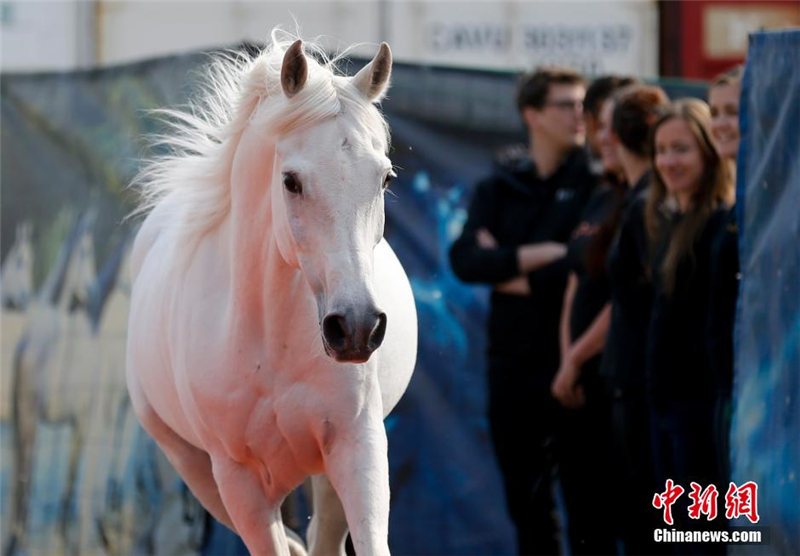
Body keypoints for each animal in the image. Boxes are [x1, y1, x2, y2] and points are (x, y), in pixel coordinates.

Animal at [128, 31, 416, 556]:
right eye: (291, 181)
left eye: (385, 177)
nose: (357, 327)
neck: (268, 341)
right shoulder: (237, 481)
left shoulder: (358, 446)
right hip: (195, 469)